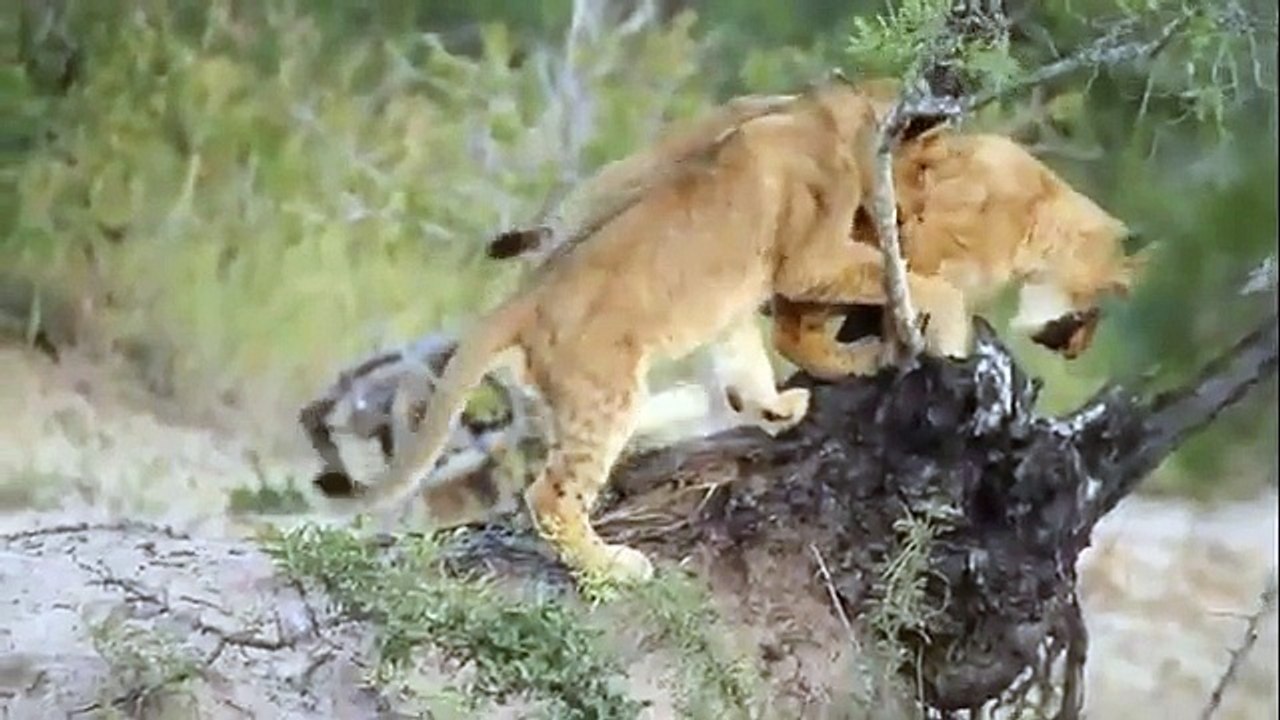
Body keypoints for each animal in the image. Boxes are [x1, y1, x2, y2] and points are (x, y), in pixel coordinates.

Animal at [325, 78, 944, 586]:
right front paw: (928, 308)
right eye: (930, 171)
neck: (825, 116)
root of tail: (523, 300)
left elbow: (746, 370)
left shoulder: (733, 300)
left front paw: (786, 403)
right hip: (606, 394)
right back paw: (615, 568)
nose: (913, 215)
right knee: (551, 495)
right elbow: (885, 272)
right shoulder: (810, 260)